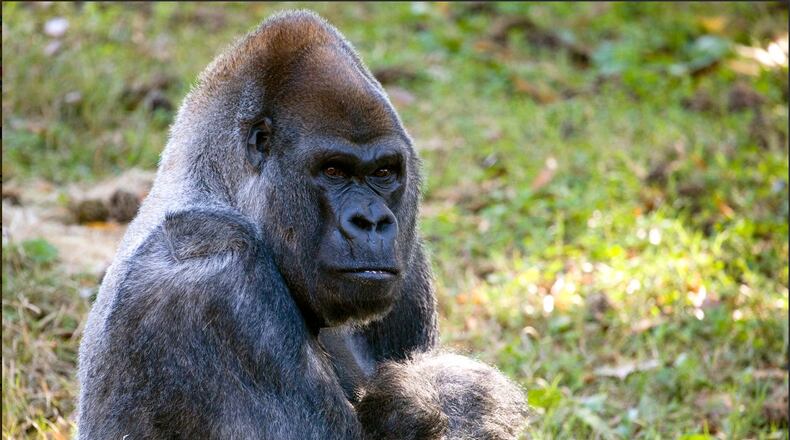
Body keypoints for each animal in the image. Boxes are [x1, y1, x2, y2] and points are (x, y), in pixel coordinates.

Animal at [77, 10, 526, 439]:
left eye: (383, 172)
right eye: (333, 171)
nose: (372, 221)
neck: (217, 187)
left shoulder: (410, 261)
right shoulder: (212, 267)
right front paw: (452, 396)